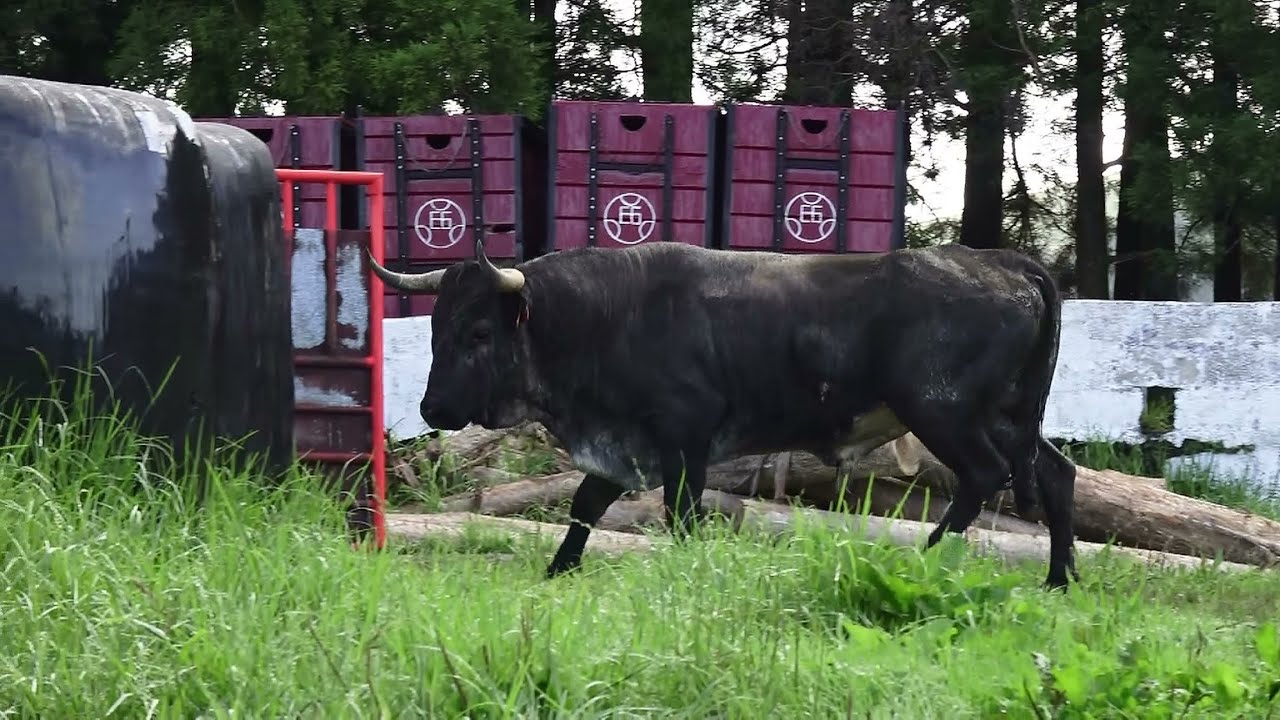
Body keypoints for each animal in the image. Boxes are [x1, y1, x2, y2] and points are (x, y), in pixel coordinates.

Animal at [368, 235, 1080, 589]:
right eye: (435, 327)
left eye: (479, 331)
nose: (433, 406)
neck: (611, 315)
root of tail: (998, 260)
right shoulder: (630, 445)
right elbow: (585, 504)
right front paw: (557, 570)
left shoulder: (684, 437)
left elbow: (681, 514)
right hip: (1007, 416)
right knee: (1055, 474)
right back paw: (1059, 577)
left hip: (945, 414)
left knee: (983, 476)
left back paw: (927, 559)